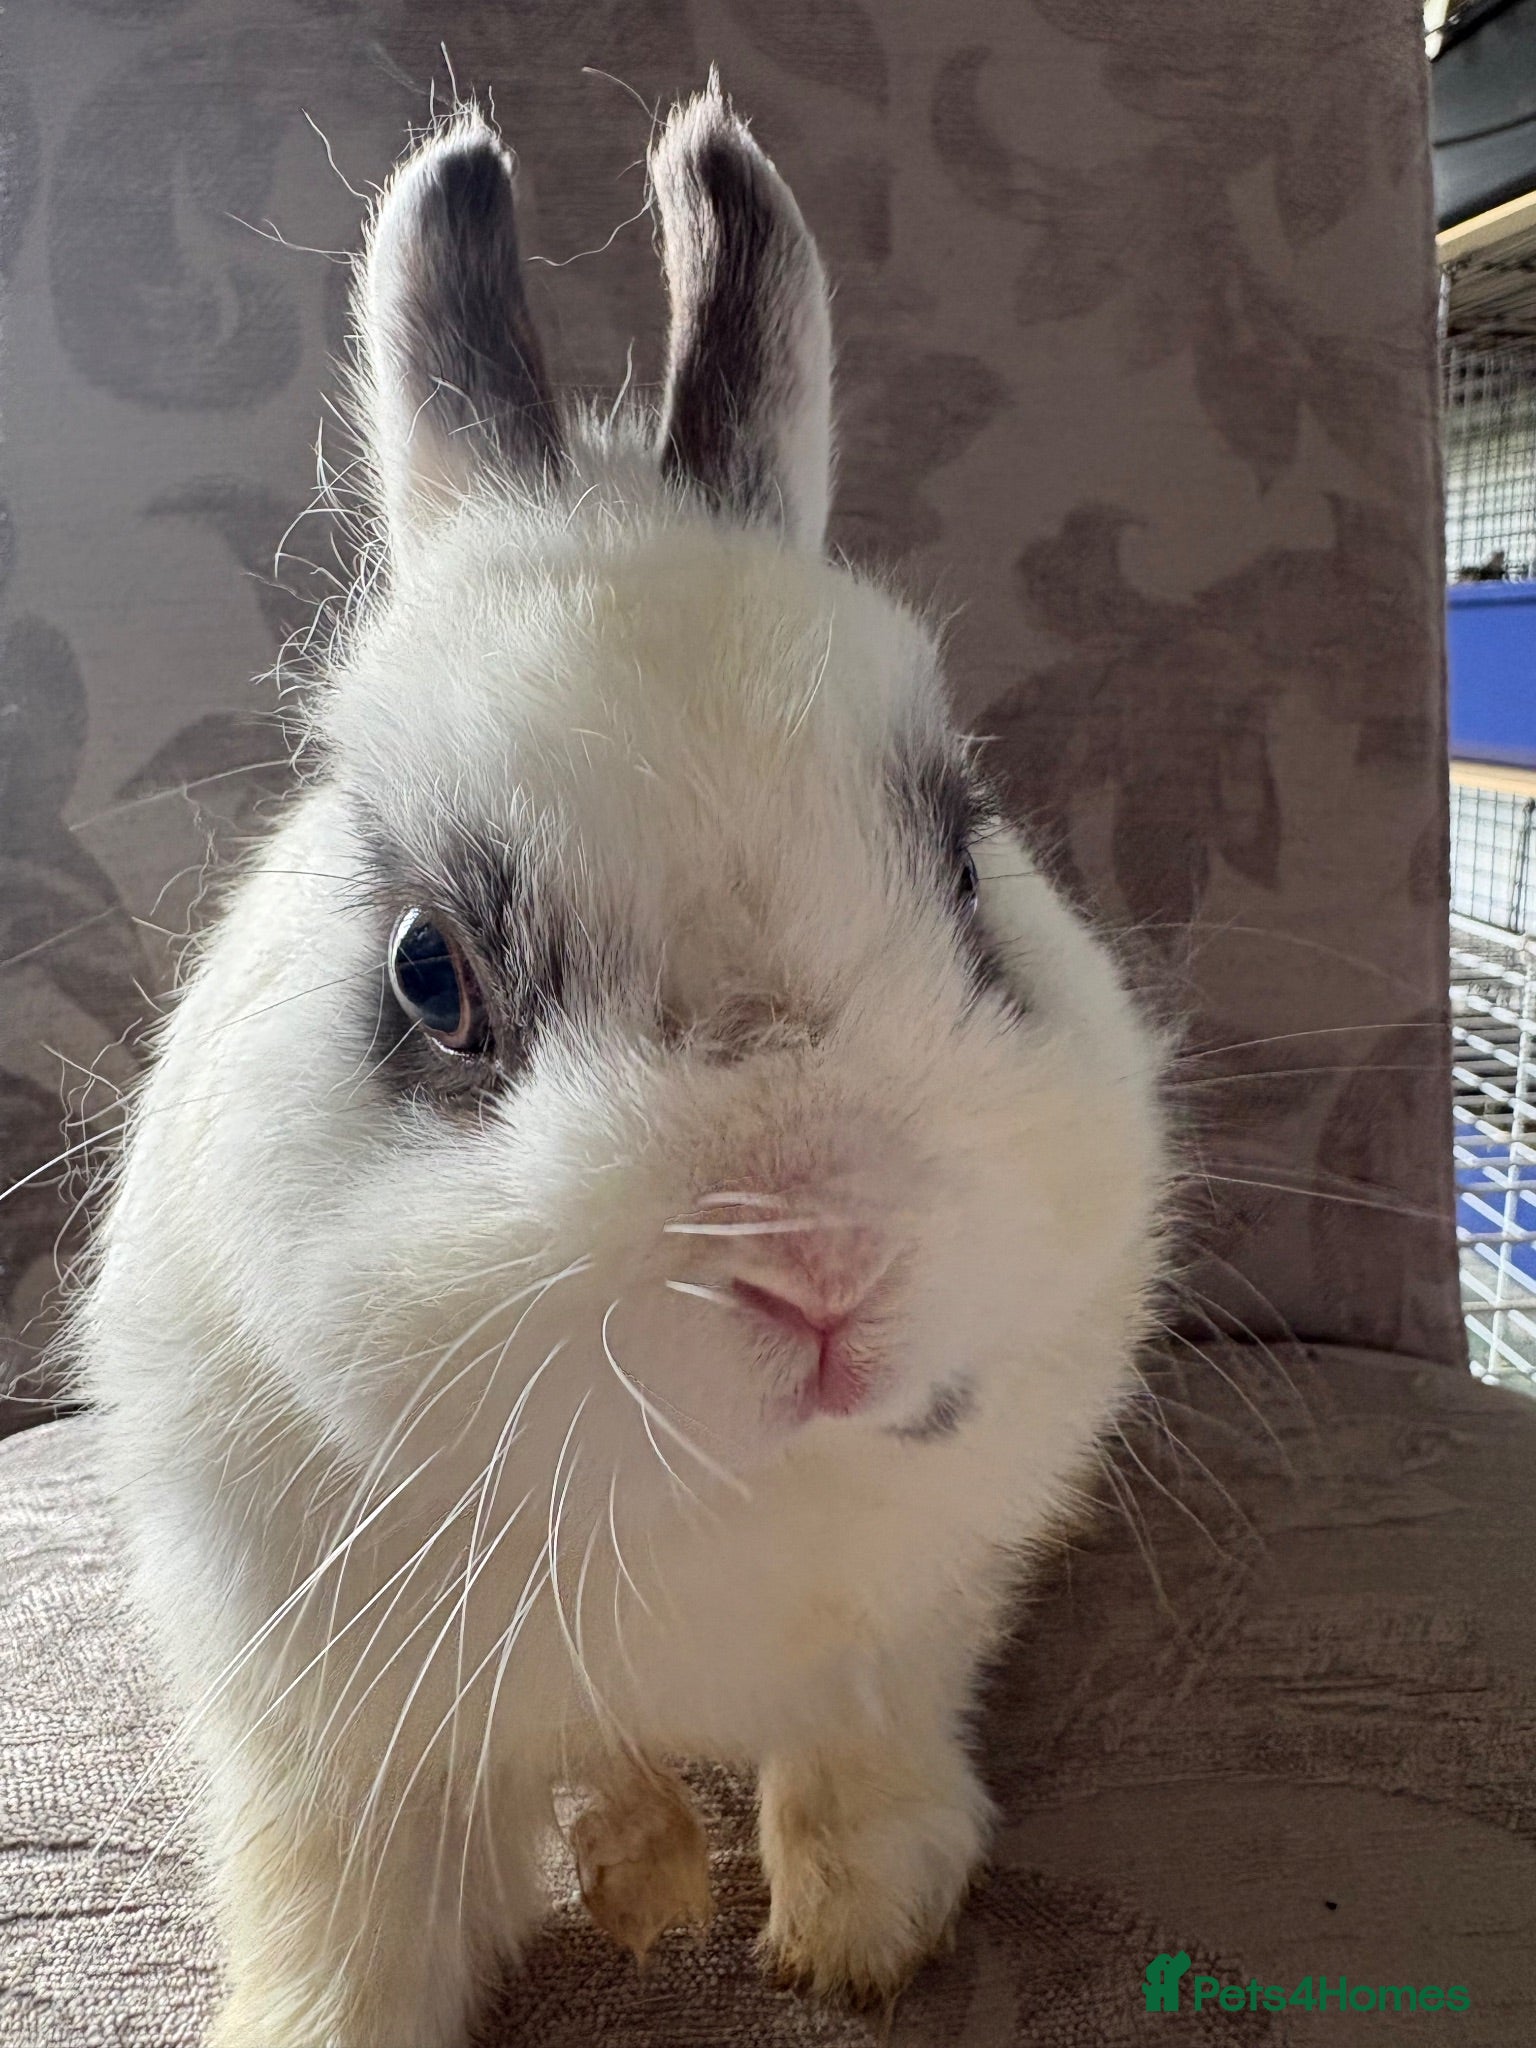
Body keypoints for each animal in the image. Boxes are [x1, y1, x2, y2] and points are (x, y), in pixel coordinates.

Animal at [76, 75, 1171, 2048]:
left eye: (968, 870)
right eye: (430, 972)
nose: (823, 1266)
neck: (701, 1497)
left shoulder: (914, 1615)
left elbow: (859, 1754)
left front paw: (863, 1933)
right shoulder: (321, 1741)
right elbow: (346, 1930)